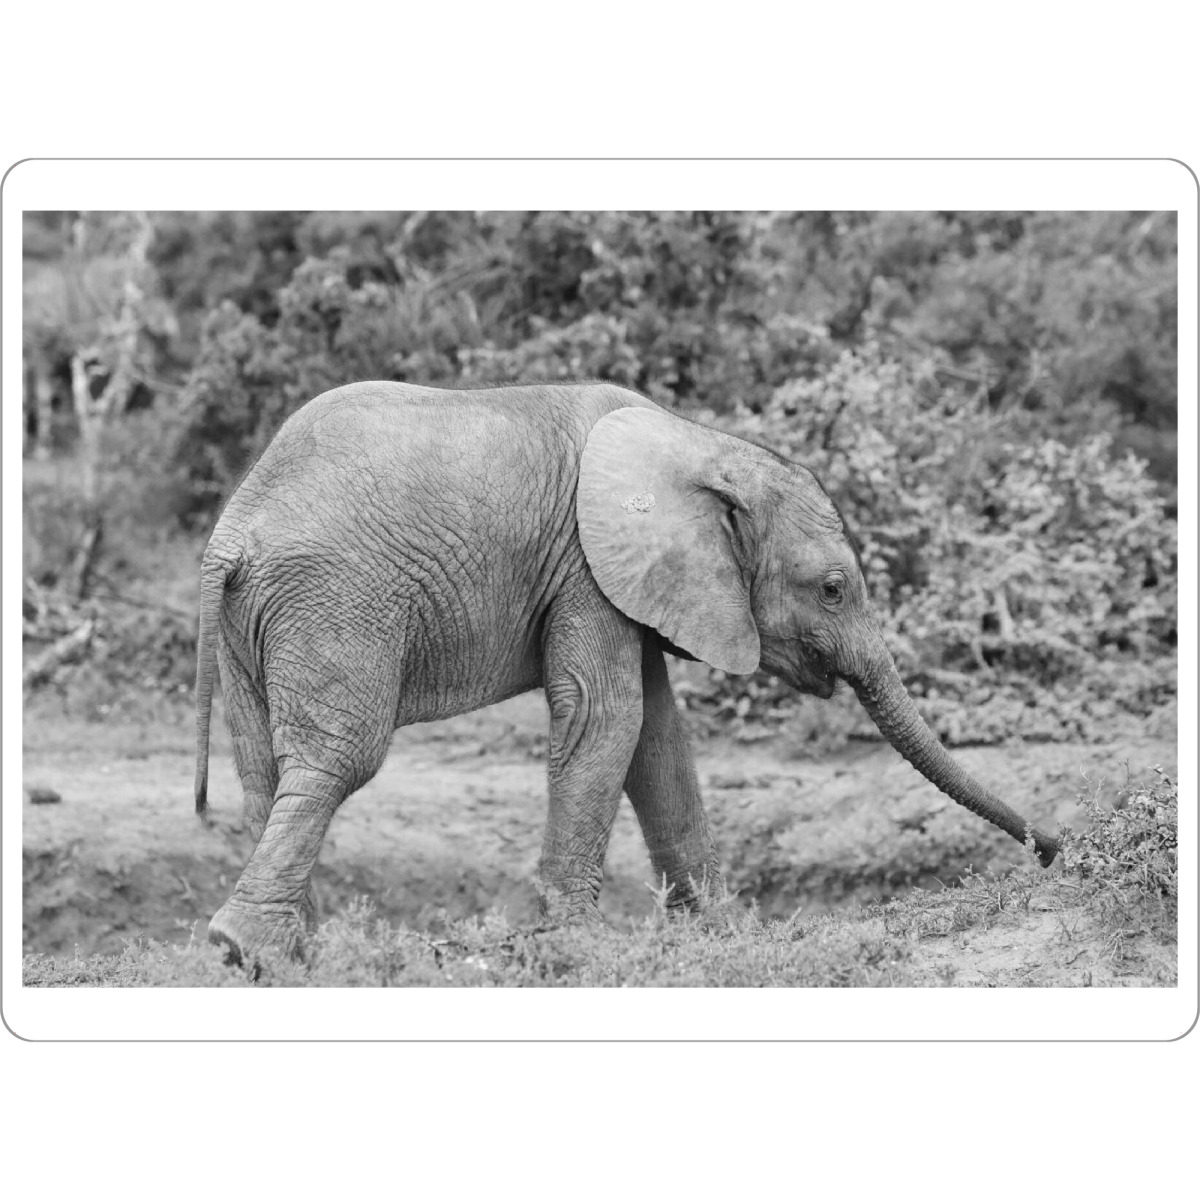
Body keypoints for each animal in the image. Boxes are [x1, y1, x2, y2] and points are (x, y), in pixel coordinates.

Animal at [193, 380, 1059, 964]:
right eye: (833, 589)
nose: (1056, 850)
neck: (700, 446)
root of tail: (234, 533)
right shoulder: (587, 564)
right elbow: (606, 718)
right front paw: (572, 944)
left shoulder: (627, 578)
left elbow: (659, 738)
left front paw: (719, 932)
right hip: (336, 598)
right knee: (340, 759)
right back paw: (245, 949)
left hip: (258, 622)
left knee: (263, 768)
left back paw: (289, 958)